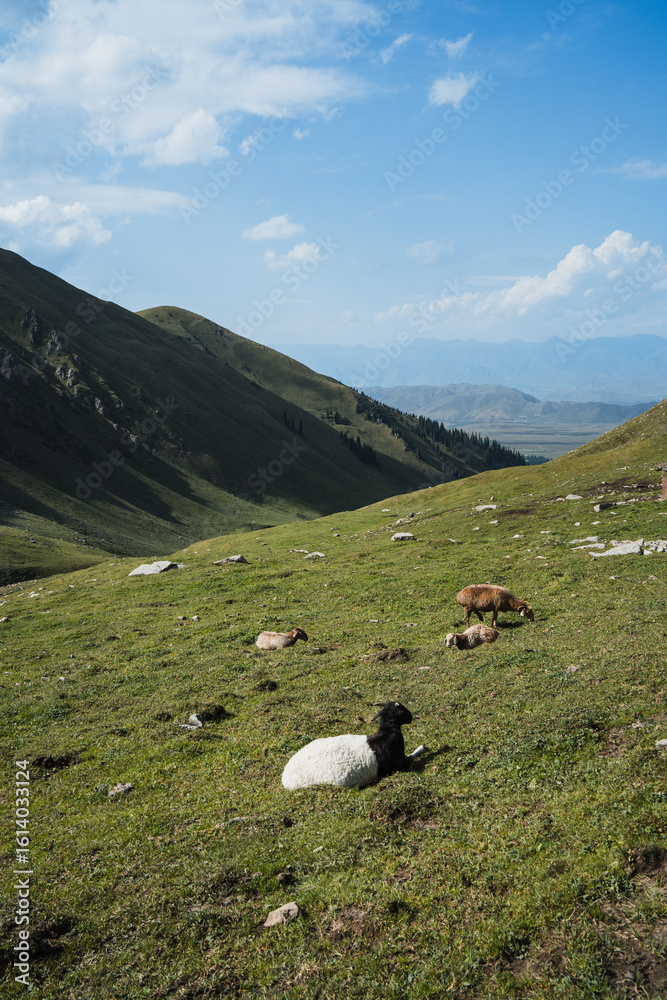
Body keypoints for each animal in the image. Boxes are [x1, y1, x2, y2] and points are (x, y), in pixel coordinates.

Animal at [281, 701, 424, 790]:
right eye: (401, 708)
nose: (411, 717)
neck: (387, 733)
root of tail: (285, 778)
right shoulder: (399, 764)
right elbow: (411, 756)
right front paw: (422, 747)